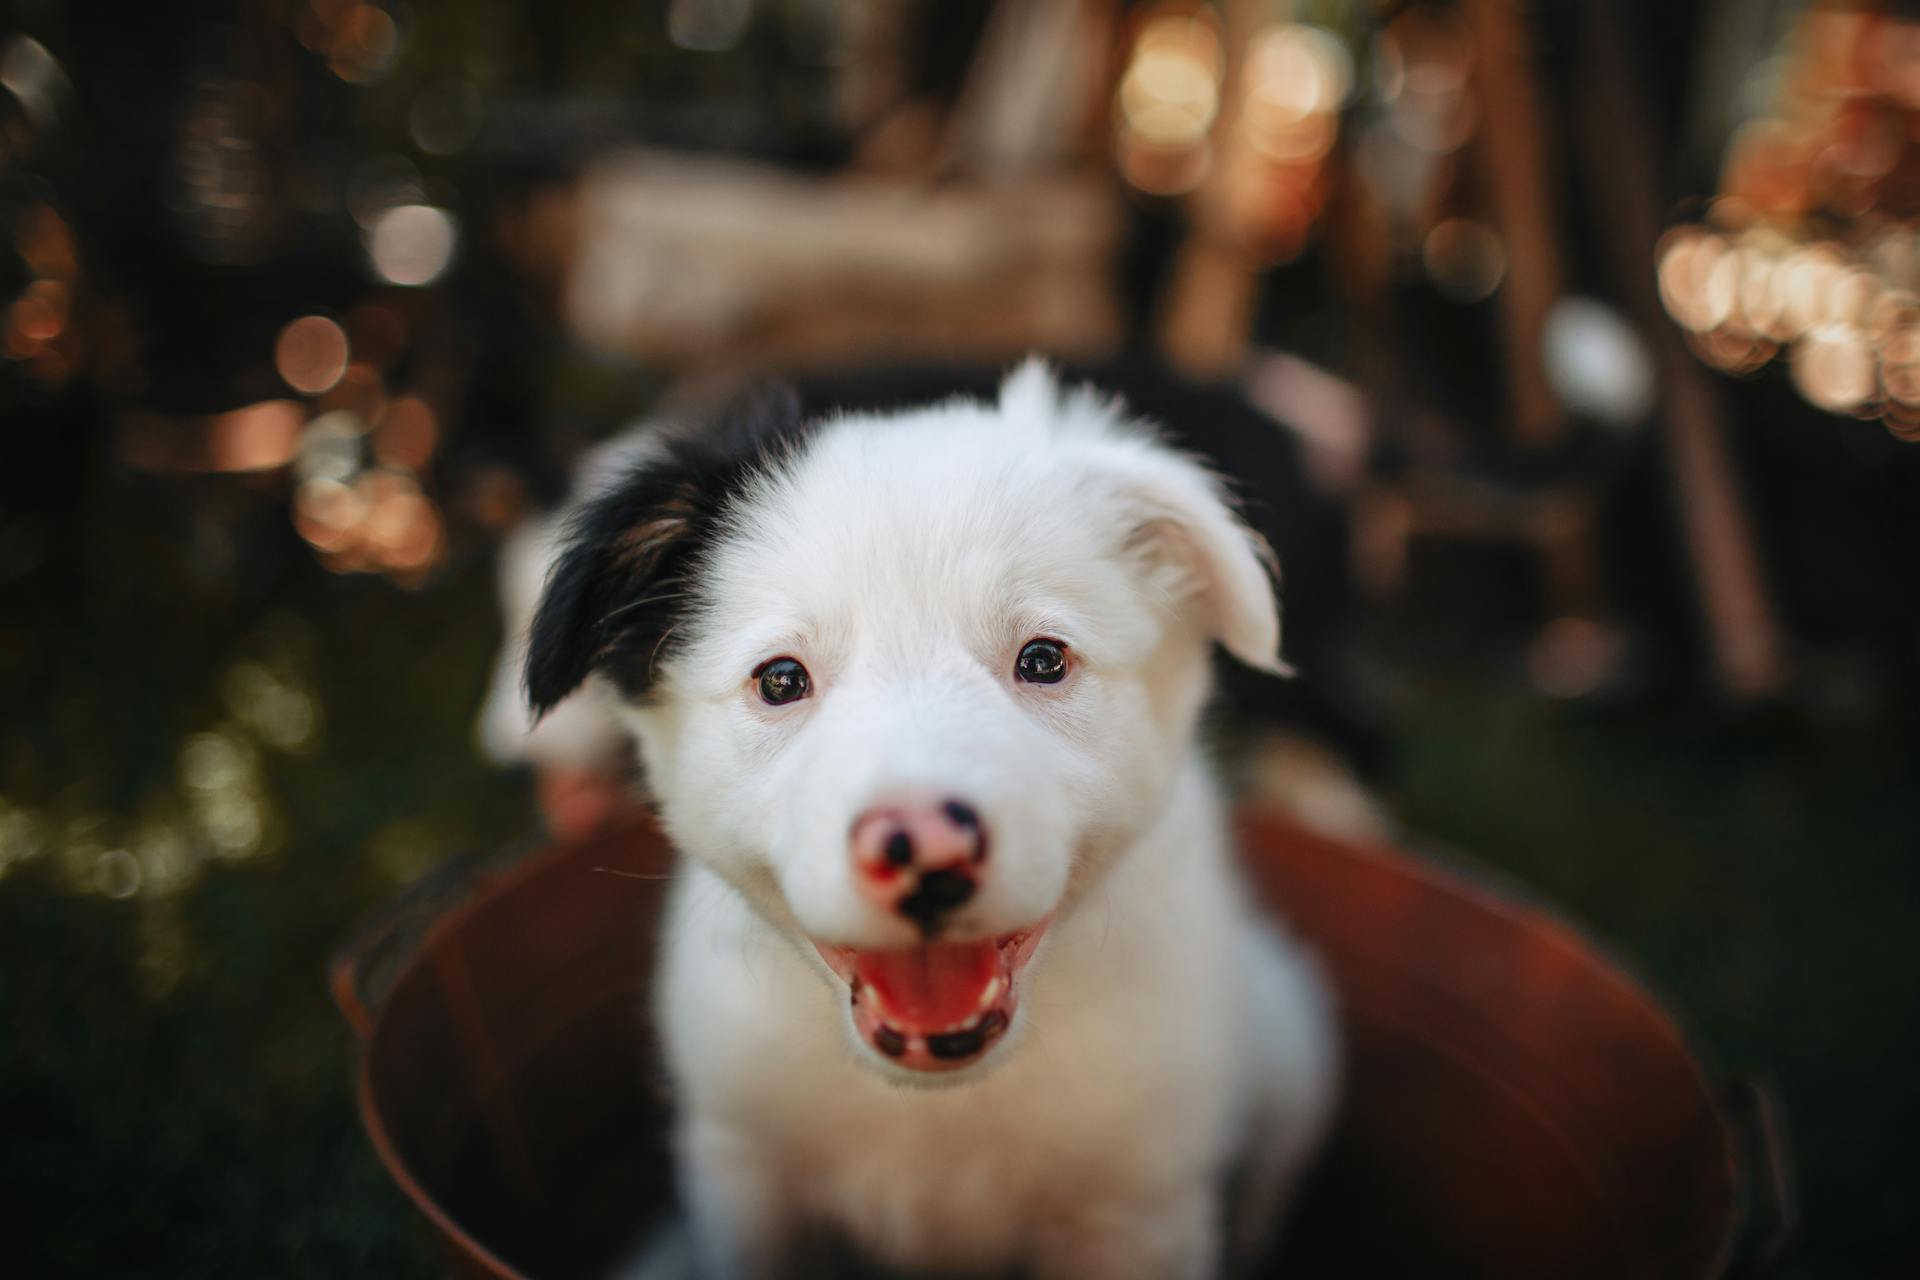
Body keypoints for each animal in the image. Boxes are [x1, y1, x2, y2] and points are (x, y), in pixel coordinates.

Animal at [518, 360, 1344, 1280]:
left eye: (1043, 660)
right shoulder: (743, 1170)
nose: (924, 845)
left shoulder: (1139, 1209)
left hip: (1293, 1041)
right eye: (780, 680)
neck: (936, 1104)